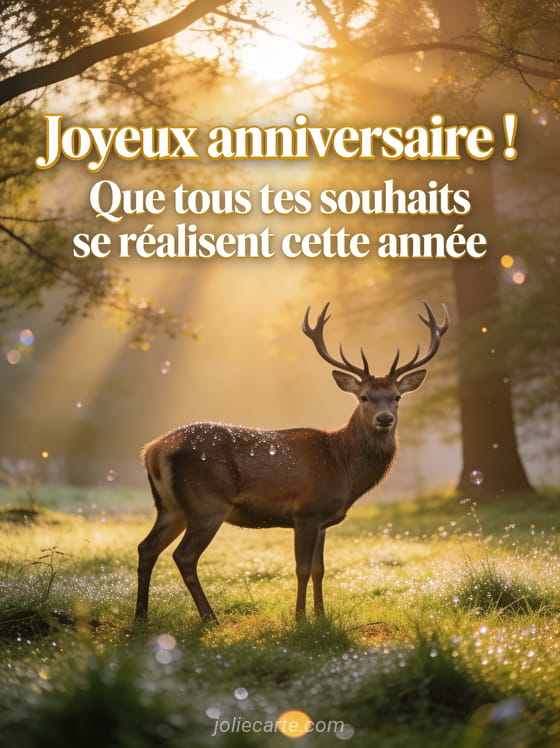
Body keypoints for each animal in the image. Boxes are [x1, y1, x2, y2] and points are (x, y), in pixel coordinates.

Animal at [135, 302, 449, 622]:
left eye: (397, 396)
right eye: (364, 397)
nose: (384, 418)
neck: (341, 466)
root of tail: (153, 450)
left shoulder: (323, 520)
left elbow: (320, 569)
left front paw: (321, 614)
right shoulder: (306, 511)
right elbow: (301, 569)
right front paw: (299, 616)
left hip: (171, 507)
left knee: (146, 548)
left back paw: (141, 616)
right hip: (207, 504)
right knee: (183, 556)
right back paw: (209, 617)